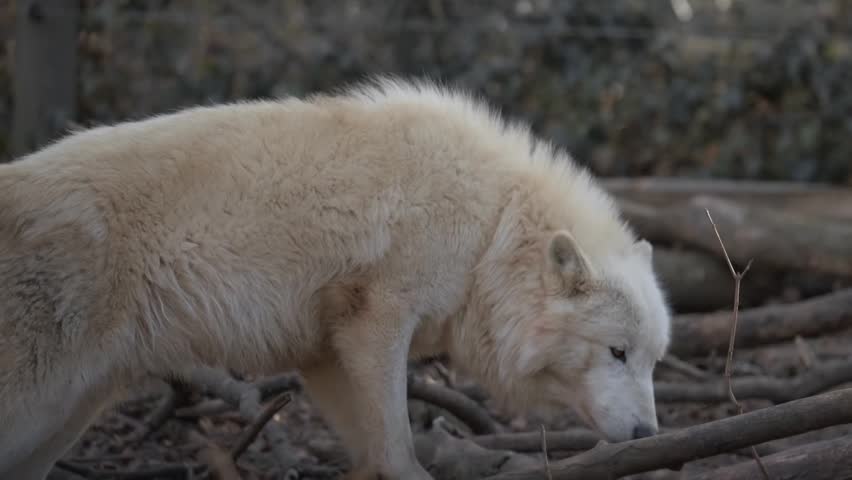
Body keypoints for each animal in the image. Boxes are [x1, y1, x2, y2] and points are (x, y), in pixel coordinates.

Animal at [0, 77, 671, 479]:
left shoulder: (323, 355)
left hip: (65, 418)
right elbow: (399, 449)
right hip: (37, 407)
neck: (490, 225)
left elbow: (374, 450)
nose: (648, 433)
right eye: (617, 352)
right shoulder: (377, 325)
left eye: (650, 362)